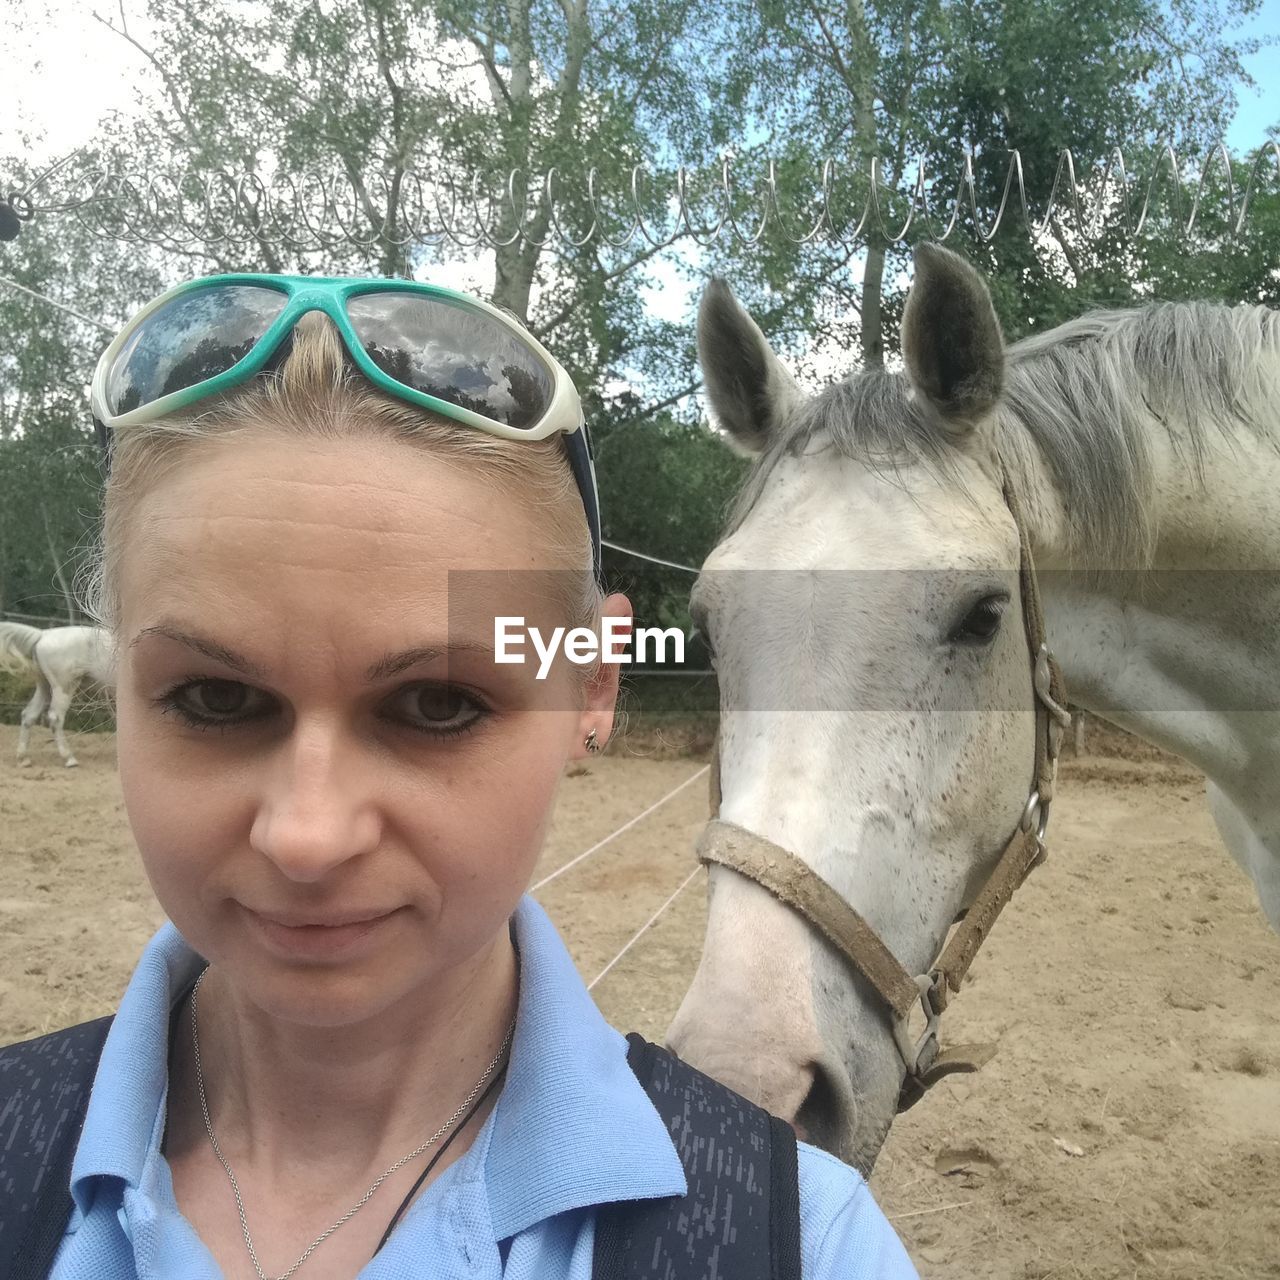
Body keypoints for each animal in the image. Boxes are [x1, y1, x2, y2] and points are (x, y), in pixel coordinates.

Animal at [0, 622, 116, 762]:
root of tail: (43, 634)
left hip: (45, 687)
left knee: (29, 715)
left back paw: (23, 758)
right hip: (63, 687)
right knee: (55, 718)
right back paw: (69, 758)